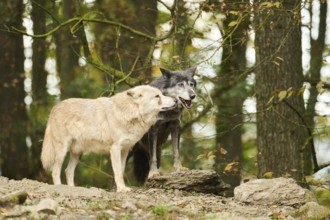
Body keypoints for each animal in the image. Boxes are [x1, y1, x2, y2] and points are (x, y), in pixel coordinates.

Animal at [41, 85, 178, 192]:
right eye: (157, 96)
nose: (176, 100)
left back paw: (72, 188)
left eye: (161, 94)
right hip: (62, 151)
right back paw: (60, 187)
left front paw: (120, 188)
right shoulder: (115, 149)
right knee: (55, 170)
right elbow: (117, 172)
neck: (131, 112)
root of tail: (55, 107)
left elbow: (121, 171)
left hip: (77, 154)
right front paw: (122, 189)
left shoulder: (125, 150)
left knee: (68, 171)